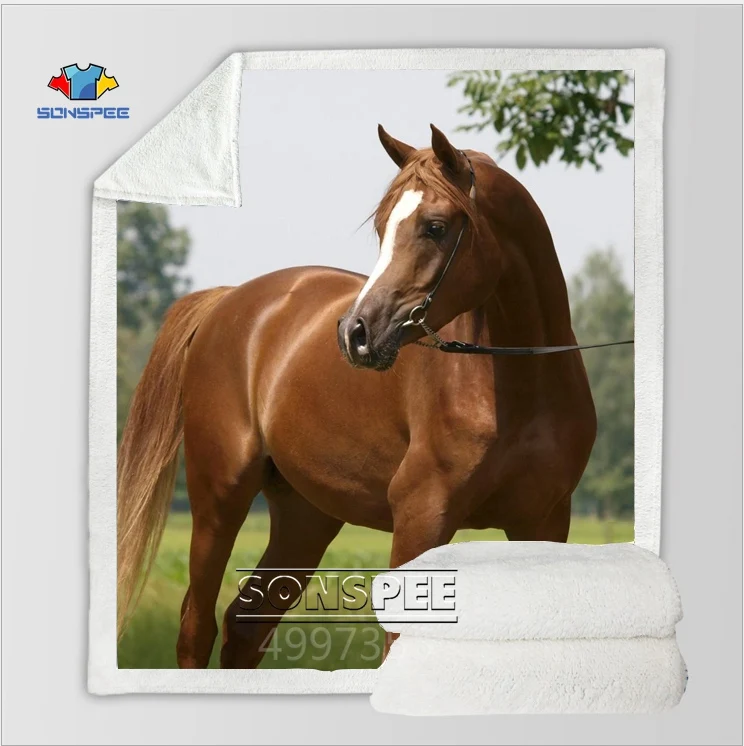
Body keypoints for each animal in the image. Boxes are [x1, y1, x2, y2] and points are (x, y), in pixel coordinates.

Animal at [117, 124, 597, 669]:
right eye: (383, 226)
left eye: (435, 227)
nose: (355, 333)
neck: (519, 384)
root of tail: (228, 300)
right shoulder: (421, 518)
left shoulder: (545, 521)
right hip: (219, 499)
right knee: (196, 629)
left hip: (306, 518)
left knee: (244, 626)